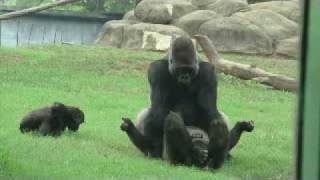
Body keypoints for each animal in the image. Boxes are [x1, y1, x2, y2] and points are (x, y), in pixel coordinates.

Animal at [120, 36, 255, 169]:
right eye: (180, 70)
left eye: (189, 70)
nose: (184, 77)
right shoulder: (156, 71)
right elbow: (158, 110)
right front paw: (154, 150)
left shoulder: (209, 72)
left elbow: (210, 112)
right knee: (147, 114)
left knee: (220, 117)